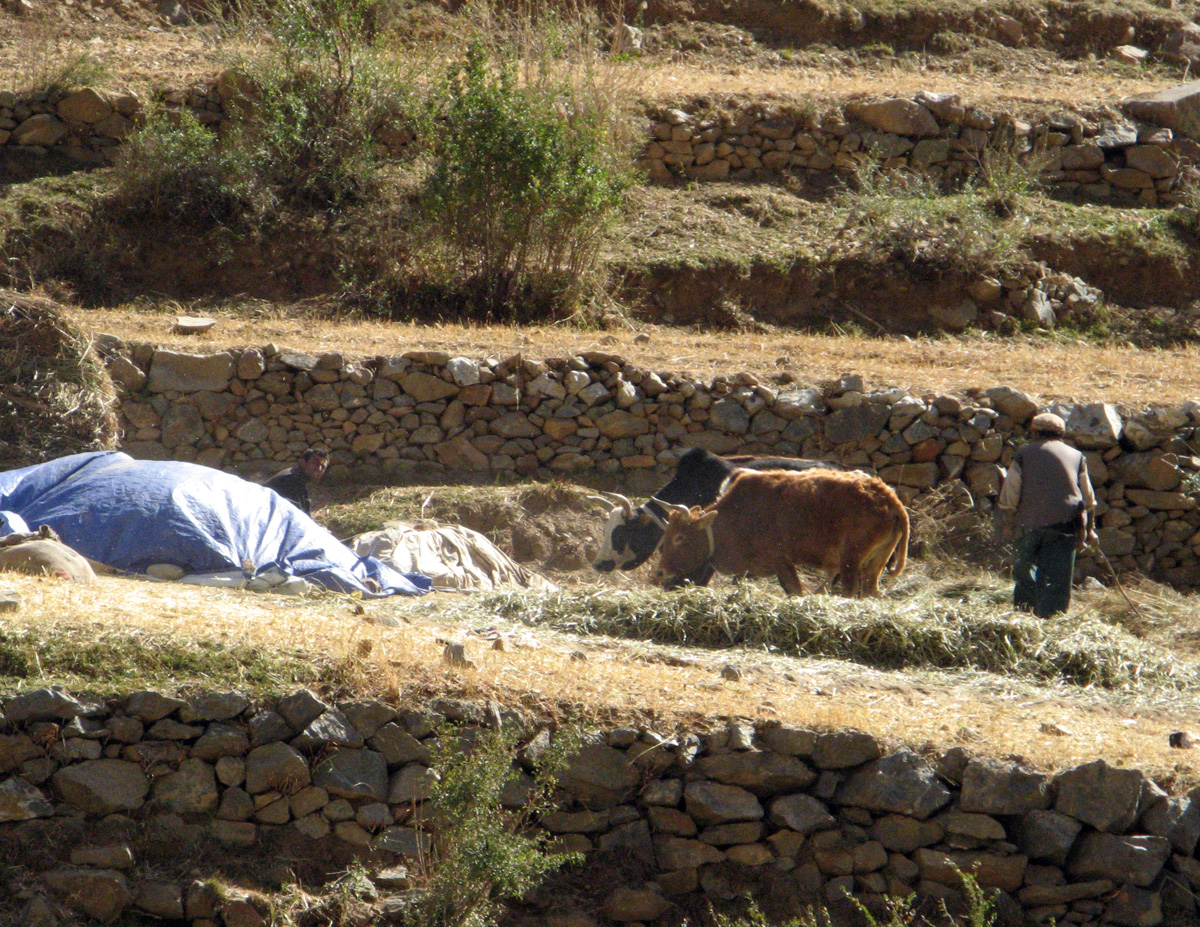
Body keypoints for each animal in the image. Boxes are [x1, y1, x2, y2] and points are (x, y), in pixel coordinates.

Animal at [652, 468, 909, 598]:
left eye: (679, 537)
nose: (660, 572)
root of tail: (889, 499)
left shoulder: (782, 563)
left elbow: (795, 591)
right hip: (874, 564)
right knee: (871, 590)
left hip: (851, 561)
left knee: (850, 590)